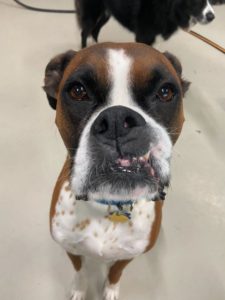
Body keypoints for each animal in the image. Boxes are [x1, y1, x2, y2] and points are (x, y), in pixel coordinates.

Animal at [43, 42, 189, 300]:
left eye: (165, 92)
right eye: (78, 91)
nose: (117, 120)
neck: (109, 206)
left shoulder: (128, 255)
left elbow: (115, 272)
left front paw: (110, 289)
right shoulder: (71, 248)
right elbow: (80, 270)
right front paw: (79, 289)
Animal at [75, 0, 214, 47]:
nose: (212, 17)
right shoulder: (143, 37)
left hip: (106, 14)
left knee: (95, 31)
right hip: (92, 13)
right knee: (84, 33)